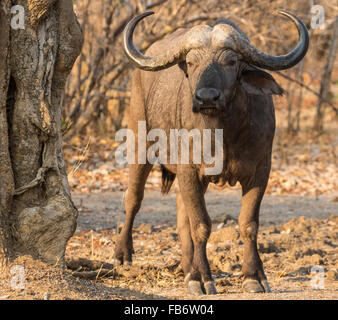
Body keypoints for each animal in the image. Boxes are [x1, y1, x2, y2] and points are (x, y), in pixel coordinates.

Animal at [114, 10, 308, 296]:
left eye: (231, 61)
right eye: (191, 62)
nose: (206, 98)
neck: (223, 134)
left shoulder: (261, 171)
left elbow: (248, 223)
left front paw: (253, 276)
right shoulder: (188, 171)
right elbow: (201, 225)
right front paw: (202, 278)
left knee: (181, 214)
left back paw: (186, 267)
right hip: (139, 144)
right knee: (134, 198)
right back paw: (123, 255)